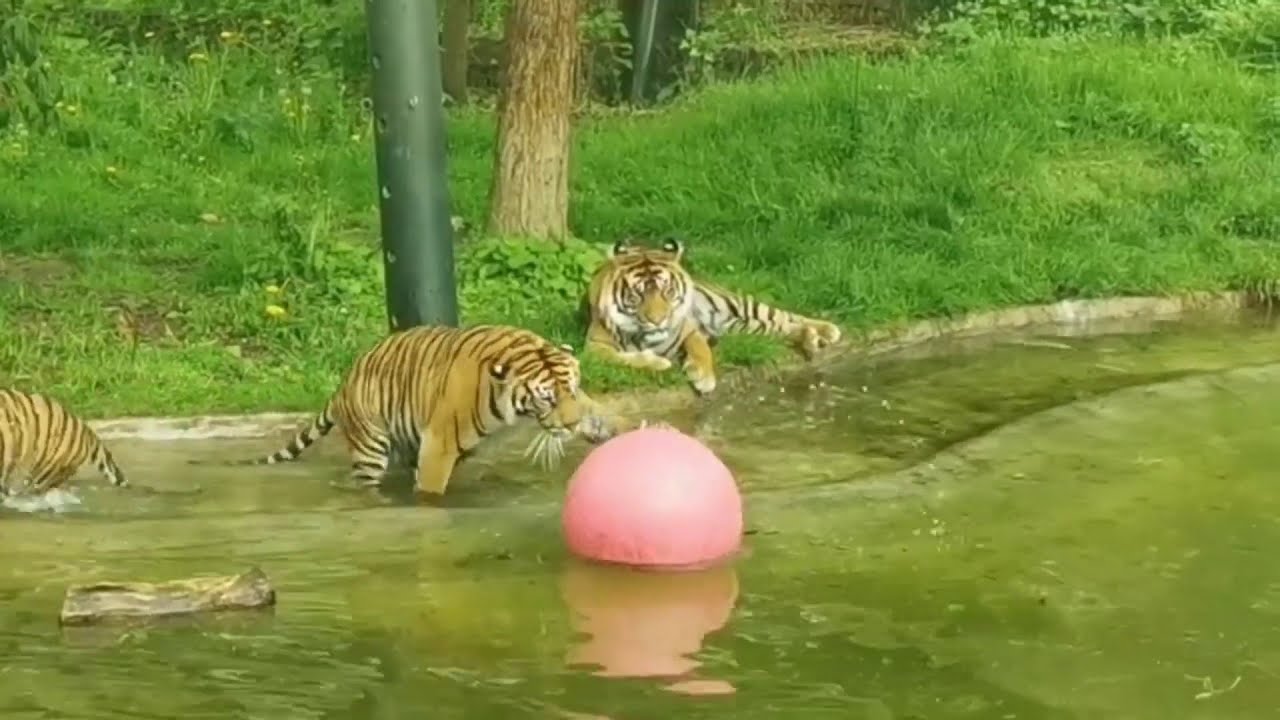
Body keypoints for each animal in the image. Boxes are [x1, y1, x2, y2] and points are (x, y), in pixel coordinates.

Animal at [216, 324, 626, 497]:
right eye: (546, 398)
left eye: (570, 391)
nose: (570, 426)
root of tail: (344, 383)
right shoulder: (440, 443)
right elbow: (430, 489)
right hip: (371, 446)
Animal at [584, 236, 843, 396]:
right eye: (637, 295)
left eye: (667, 291)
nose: (658, 320)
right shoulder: (594, 347)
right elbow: (622, 358)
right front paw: (658, 362)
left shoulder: (689, 328)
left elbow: (701, 349)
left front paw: (703, 378)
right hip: (745, 328)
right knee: (781, 327)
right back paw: (810, 338)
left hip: (742, 306)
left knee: (785, 315)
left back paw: (827, 330)